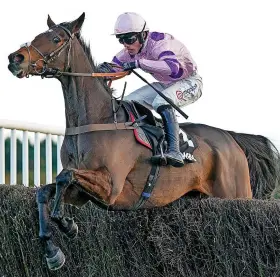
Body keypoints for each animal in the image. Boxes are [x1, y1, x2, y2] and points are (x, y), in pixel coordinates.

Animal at [6, 12, 280, 270]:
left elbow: (65, 176)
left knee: (165, 104)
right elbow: (45, 191)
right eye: (38, 35)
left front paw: (66, 224)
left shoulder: (112, 188)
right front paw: (53, 250)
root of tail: (232, 137)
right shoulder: (82, 194)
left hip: (236, 192)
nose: (15, 59)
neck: (96, 120)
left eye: (56, 39)